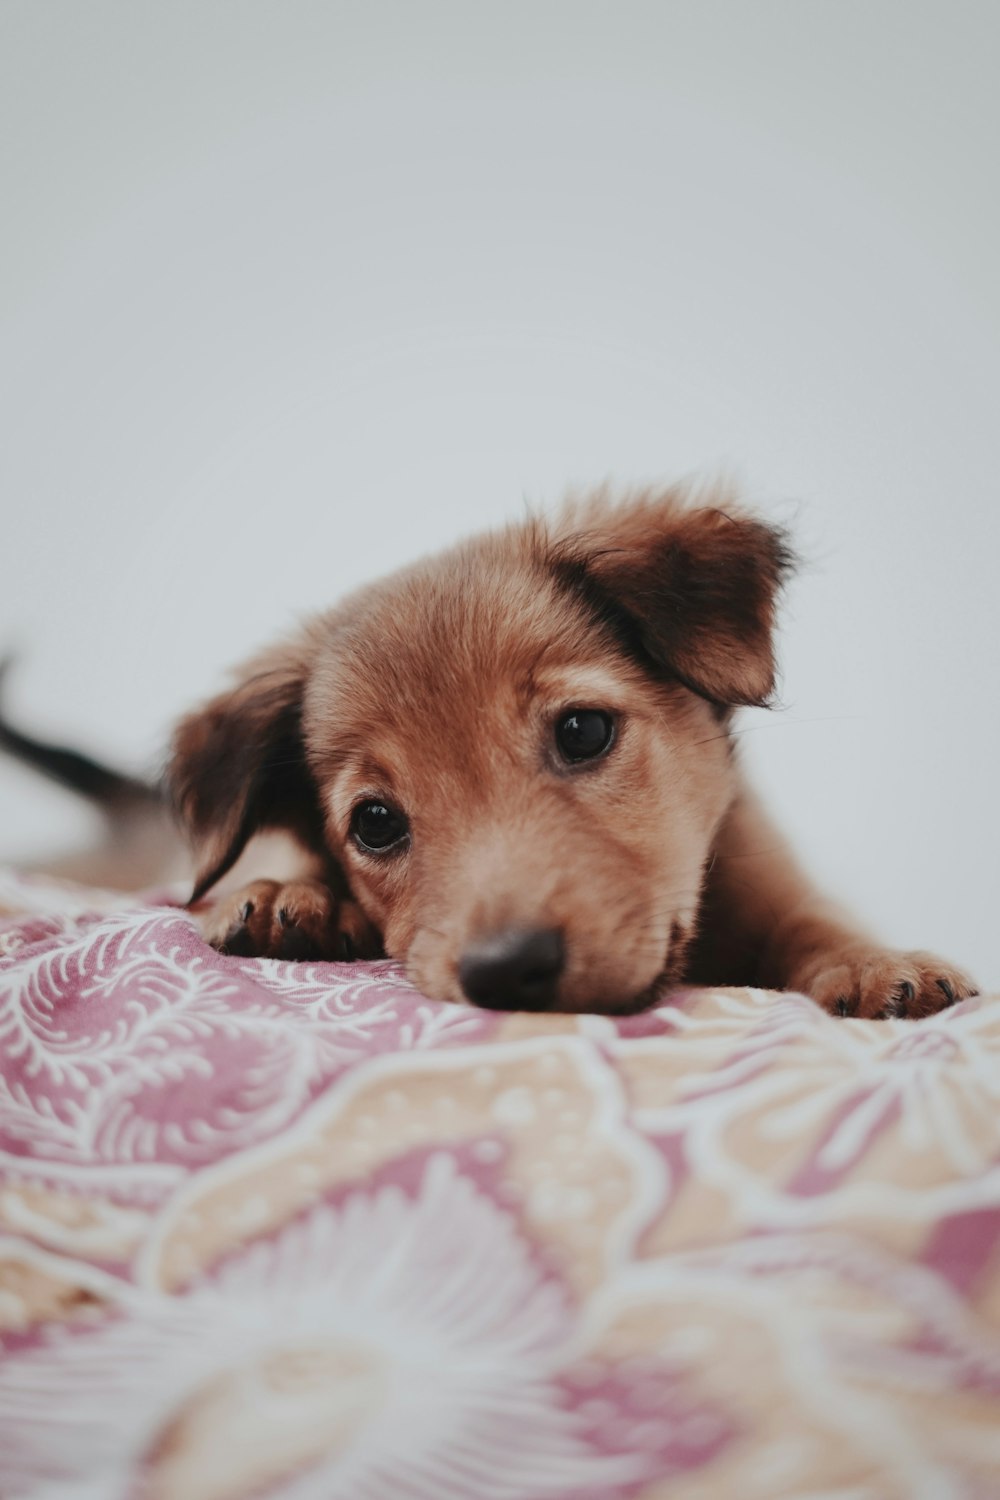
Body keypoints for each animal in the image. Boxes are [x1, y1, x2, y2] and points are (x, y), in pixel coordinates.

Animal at [170, 489, 977, 1020]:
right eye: (374, 821)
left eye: (583, 732)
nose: (506, 974)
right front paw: (297, 893)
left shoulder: (774, 878)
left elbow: (813, 920)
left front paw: (876, 964)